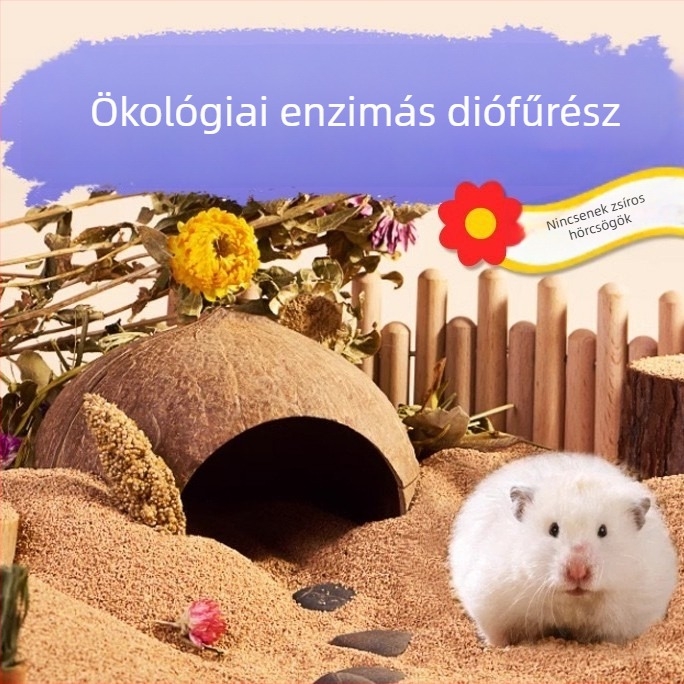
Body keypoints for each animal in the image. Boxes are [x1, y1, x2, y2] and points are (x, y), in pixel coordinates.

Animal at [447, 452, 679, 647]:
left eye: (603, 531)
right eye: (553, 529)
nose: (578, 572)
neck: (572, 601)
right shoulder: (491, 603)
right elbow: (497, 636)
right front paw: (495, 647)